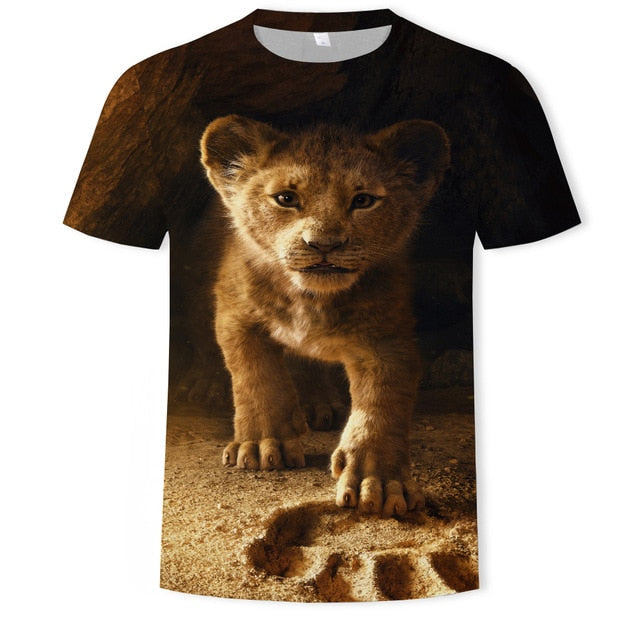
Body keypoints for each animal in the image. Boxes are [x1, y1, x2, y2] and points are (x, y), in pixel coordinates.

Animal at [200, 114, 450, 516]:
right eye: (286, 198)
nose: (323, 245)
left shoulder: (387, 339)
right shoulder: (236, 314)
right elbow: (256, 377)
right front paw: (263, 444)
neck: (311, 298)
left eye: (363, 200)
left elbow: (381, 405)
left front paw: (378, 482)